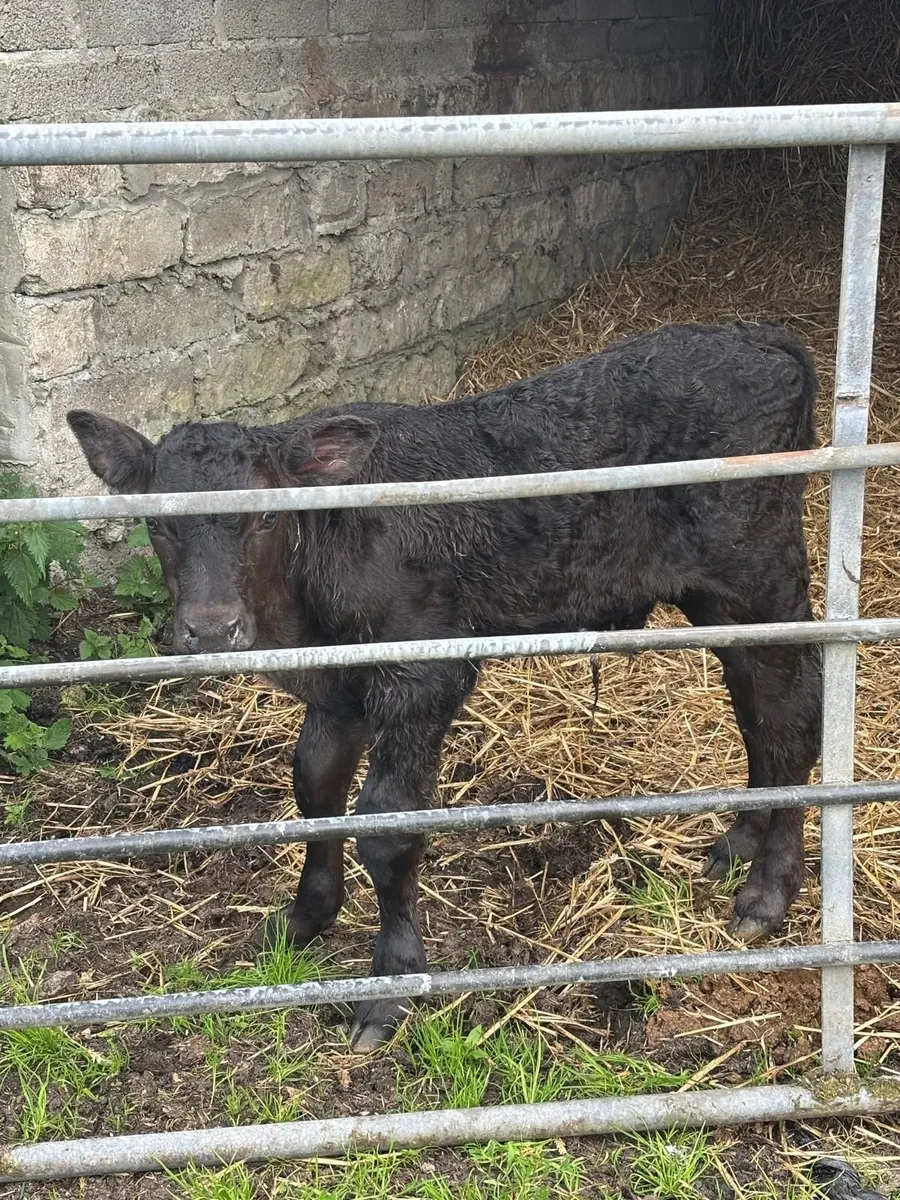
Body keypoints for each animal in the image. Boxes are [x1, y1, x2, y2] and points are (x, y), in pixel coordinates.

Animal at [68, 320, 822, 1052]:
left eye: (267, 516)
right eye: (157, 522)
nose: (211, 627)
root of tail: (756, 333)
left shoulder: (422, 677)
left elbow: (387, 826)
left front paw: (391, 985)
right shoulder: (338, 693)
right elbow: (315, 792)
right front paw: (304, 919)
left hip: (759, 577)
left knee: (793, 716)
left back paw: (767, 893)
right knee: (759, 715)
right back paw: (739, 841)